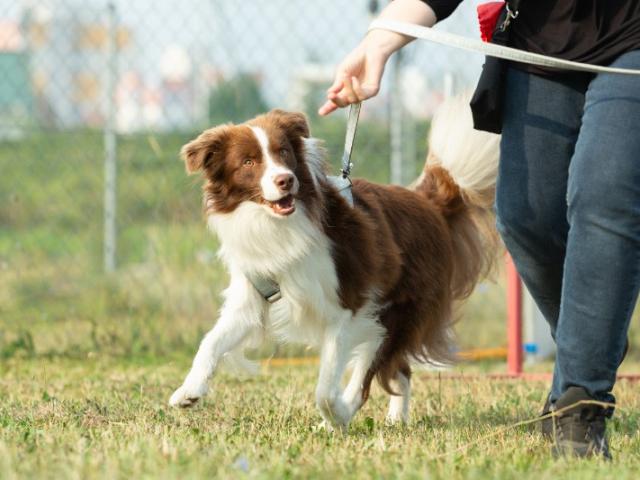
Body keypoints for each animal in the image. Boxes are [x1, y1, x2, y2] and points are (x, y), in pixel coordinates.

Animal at [169, 95, 500, 430]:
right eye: (248, 162)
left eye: (284, 152)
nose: (285, 180)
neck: (279, 225)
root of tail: (428, 203)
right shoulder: (253, 296)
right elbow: (211, 341)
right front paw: (189, 390)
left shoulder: (348, 306)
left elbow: (326, 387)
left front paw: (337, 413)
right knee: (400, 371)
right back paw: (395, 419)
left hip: (395, 312)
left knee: (370, 374)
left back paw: (343, 415)